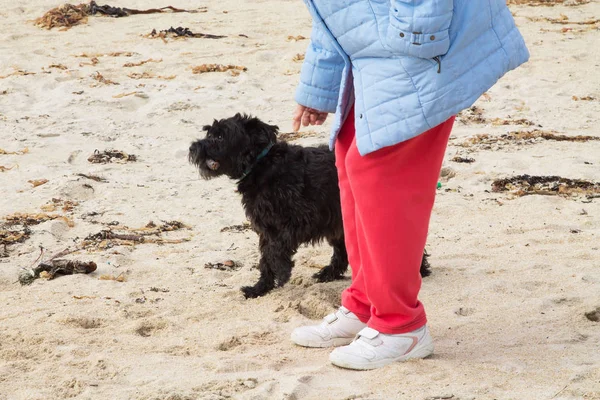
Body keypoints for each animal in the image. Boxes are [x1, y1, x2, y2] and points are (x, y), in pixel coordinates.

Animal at [190, 114, 428, 298]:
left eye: (220, 136)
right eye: (209, 133)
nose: (193, 147)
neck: (262, 165)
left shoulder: (299, 221)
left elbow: (275, 251)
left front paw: (282, 272)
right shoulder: (267, 228)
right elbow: (265, 257)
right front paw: (260, 288)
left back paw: (417, 271)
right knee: (343, 249)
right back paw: (329, 273)